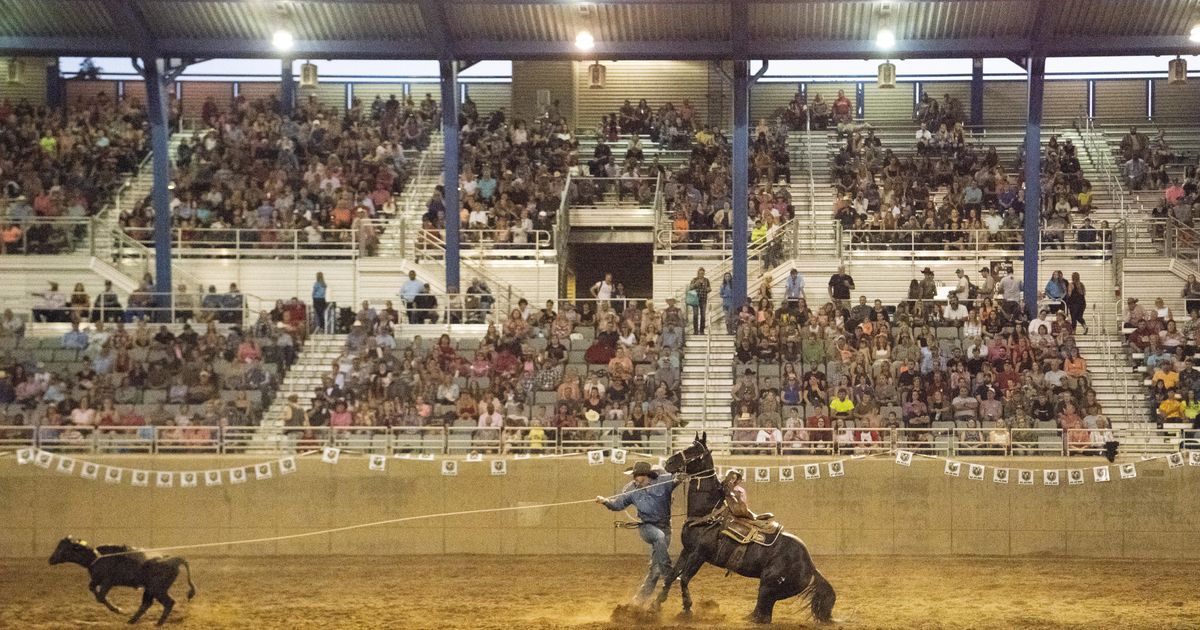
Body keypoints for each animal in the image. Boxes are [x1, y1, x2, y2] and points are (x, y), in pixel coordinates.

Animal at [657, 434, 835, 619]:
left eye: (693, 451)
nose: (669, 462)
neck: (708, 515)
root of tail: (811, 566)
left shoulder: (699, 554)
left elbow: (684, 578)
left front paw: (687, 608)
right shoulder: (687, 550)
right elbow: (671, 576)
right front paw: (657, 603)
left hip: (768, 586)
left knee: (763, 614)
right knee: (762, 612)